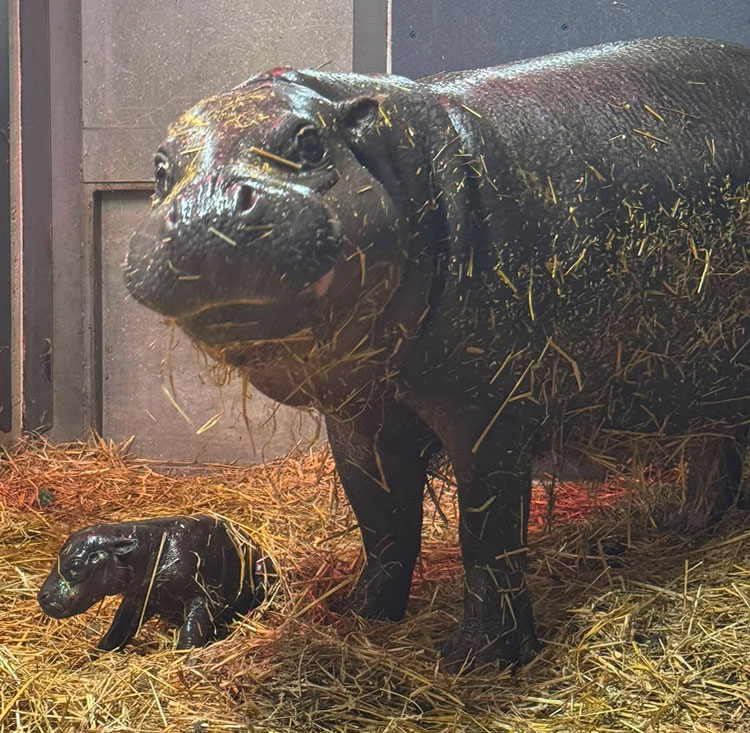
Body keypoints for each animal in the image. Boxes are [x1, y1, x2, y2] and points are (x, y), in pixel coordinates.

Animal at [38, 516, 275, 651]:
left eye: (76, 565)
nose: (42, 597)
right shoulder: (138, 597)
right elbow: (117, 630)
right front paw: (94, 657)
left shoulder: (200, 597)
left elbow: (191, 631)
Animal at [125, 37, 750, 671]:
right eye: (160, 169)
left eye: (309, 141)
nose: (206, 209)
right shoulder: (360, 418)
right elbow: (382, 522)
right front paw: (361, 618)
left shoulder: (488, 410)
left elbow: (488, 532)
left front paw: (476, 660)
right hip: (705, 375)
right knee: (713, 454)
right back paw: (680, 529)